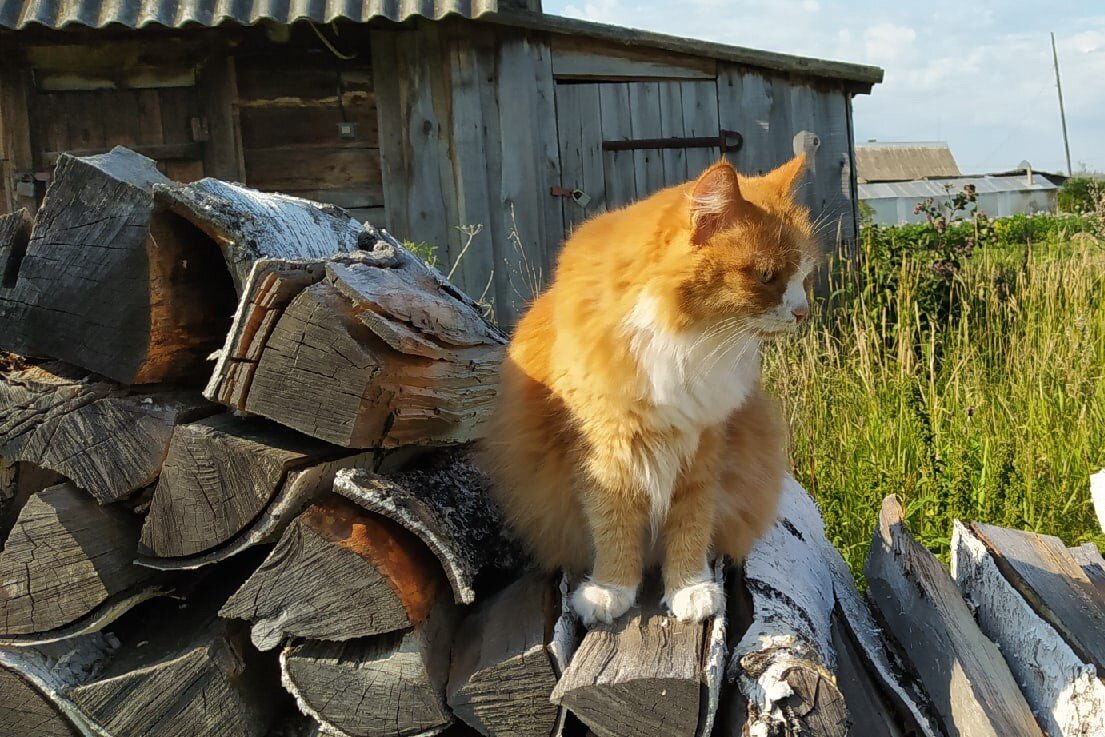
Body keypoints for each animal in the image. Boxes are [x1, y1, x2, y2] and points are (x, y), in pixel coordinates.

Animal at [479, 155, 817, 623]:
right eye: (767, 276)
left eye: (806, 276)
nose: (803, 311)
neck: (686, 342)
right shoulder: (605, 449)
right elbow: (613, 525)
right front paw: (610, 590)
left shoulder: (703, 445)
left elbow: (691, 524)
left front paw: (690, 588)